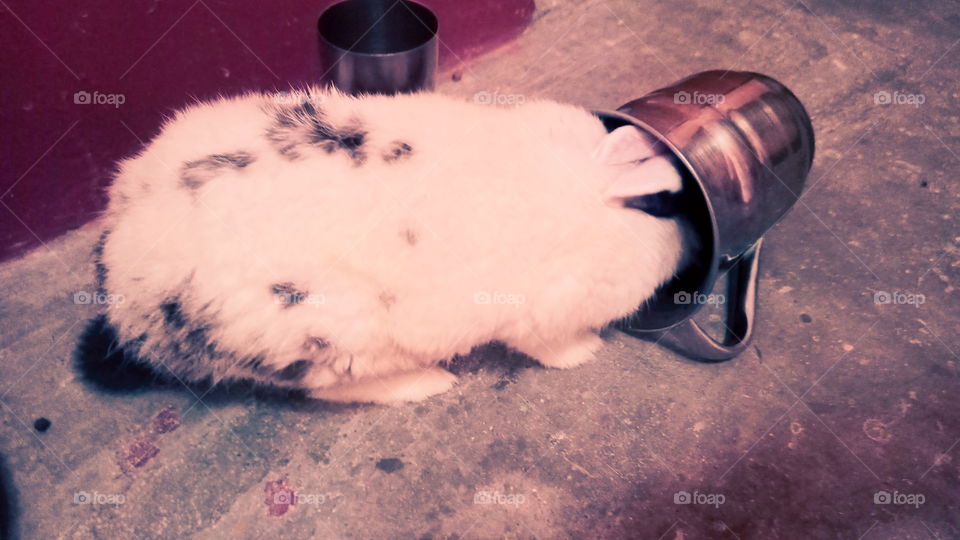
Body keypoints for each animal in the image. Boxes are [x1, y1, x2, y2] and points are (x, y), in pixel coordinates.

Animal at [93, 87, 690, 404]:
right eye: (660, 202)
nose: (686, 244)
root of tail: (124, 283)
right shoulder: (537, 313)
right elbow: (548, 347)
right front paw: (586, 352)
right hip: (333, 335)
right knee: (330, 389)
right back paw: (426, 384)